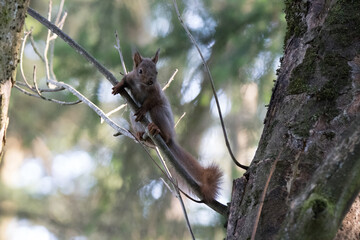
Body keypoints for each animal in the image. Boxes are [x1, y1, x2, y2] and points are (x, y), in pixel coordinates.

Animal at [112, 49, 222, 202]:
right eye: (140, 71)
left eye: (156, 71)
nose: (151, 81)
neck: (142, 86)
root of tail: (170, 140)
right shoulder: (131, 77)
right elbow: (125, 79)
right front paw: (119, 86)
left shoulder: (156, 92)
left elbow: (151, 101)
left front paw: (143, 108)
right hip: (133, 119)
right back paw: (141, 136)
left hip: (159, 113)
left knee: (162, 128)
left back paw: (156, 130)